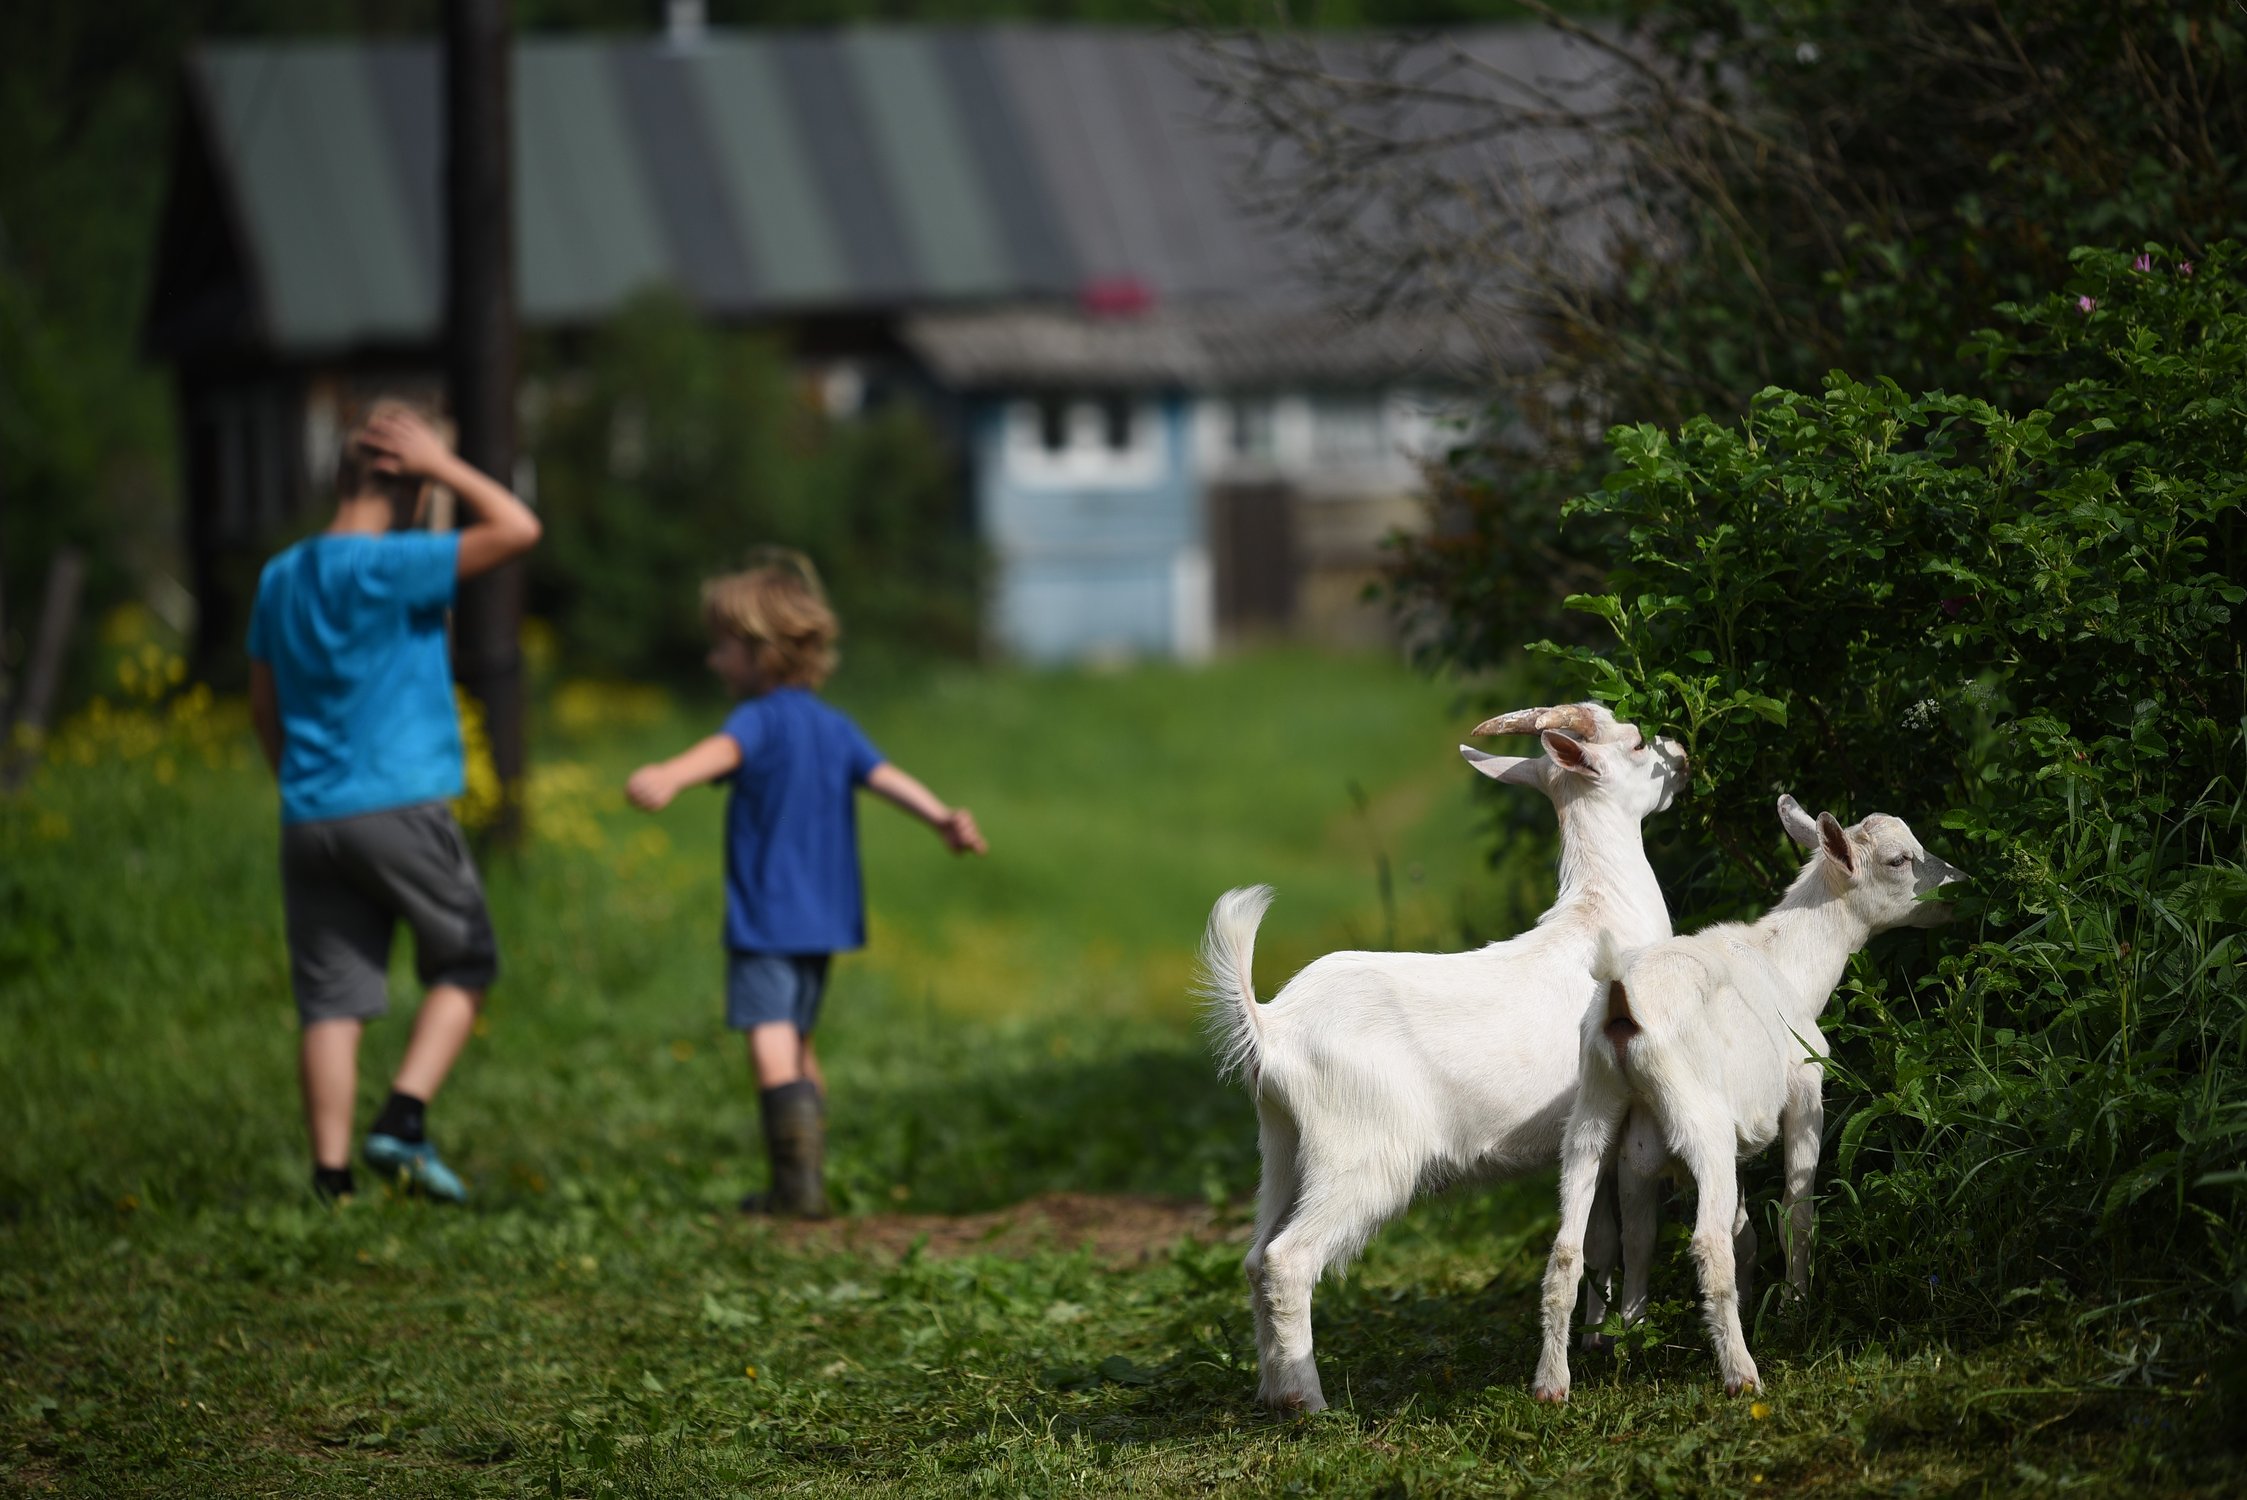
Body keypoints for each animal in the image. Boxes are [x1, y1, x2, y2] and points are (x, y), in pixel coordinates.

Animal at [1204, 700, 1680, 1410]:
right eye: (1637, 742)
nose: (1681, 752)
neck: (1604, 913)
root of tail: (1272, 1028)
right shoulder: (1621, 1111)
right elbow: (1632, 1231)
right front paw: (1622, 1339)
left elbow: (1599, 1237)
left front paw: (1598, 1341)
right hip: (1364, 1153)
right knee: (1289, 1259)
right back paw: (1310, 1404)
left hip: (1282, 1146)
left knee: (1257, 1254)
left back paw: (1271, 1392)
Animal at [1527, 794, 1968, 1392]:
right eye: (1900, 859)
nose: (1962, 886)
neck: (1790, 965)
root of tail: (1621, 1008)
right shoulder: (1806, 1086)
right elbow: (1794, 1212)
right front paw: (1793, 1308)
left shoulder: (1643, 1152)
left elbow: (1673, 1236)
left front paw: (1633, 1339)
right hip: (1700, 1122)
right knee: (1707, 1244)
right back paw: (1741, 1374)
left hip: (1592, 1120)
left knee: (1566, 1252)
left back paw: (1552, 1385)